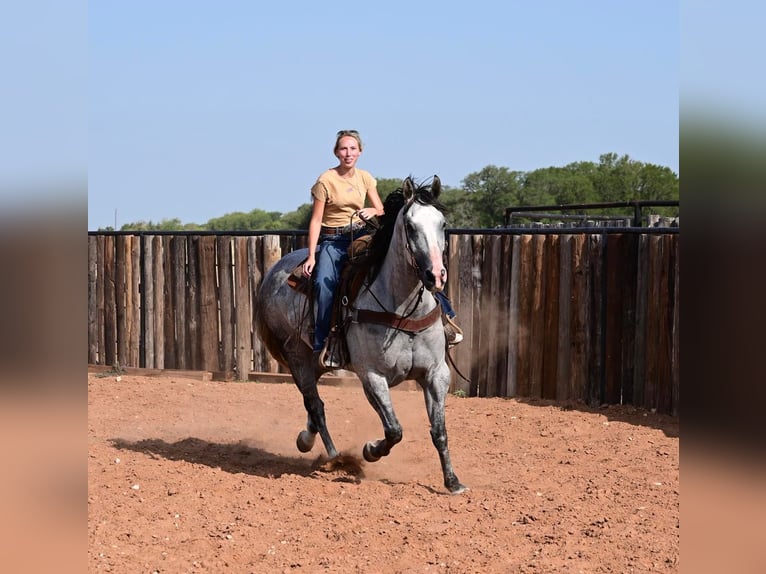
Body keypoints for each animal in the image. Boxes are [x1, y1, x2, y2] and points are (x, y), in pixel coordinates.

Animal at [255, 176, 468, 496]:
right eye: (410, 226)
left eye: (442, 224)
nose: (436, 275)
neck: (402, 308)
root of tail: (273, 274)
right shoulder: (372, 376)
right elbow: (394, 429)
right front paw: (369, 451)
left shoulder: (436, 373)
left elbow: (439, 431)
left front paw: (452, 482)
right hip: (296, 358)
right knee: (316, 406)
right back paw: (335, 459)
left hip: (317, 360)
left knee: (313, 406)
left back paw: (305, 440)